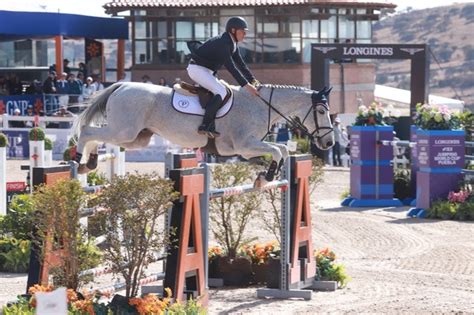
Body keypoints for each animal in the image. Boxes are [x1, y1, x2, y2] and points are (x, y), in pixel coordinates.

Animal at [72, 82, 336, 184]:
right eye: (322, 110)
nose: (329, 143)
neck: (261, 105)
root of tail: (122, 85)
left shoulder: (249, 148)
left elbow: (281, 150)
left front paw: (268, 174)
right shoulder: (244, 146)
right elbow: (278, 150)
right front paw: (267, 177)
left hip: (135, 138)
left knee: (95, 135)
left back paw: (89, 163)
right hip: (124, 131)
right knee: (87, 131)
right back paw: (78, 160)